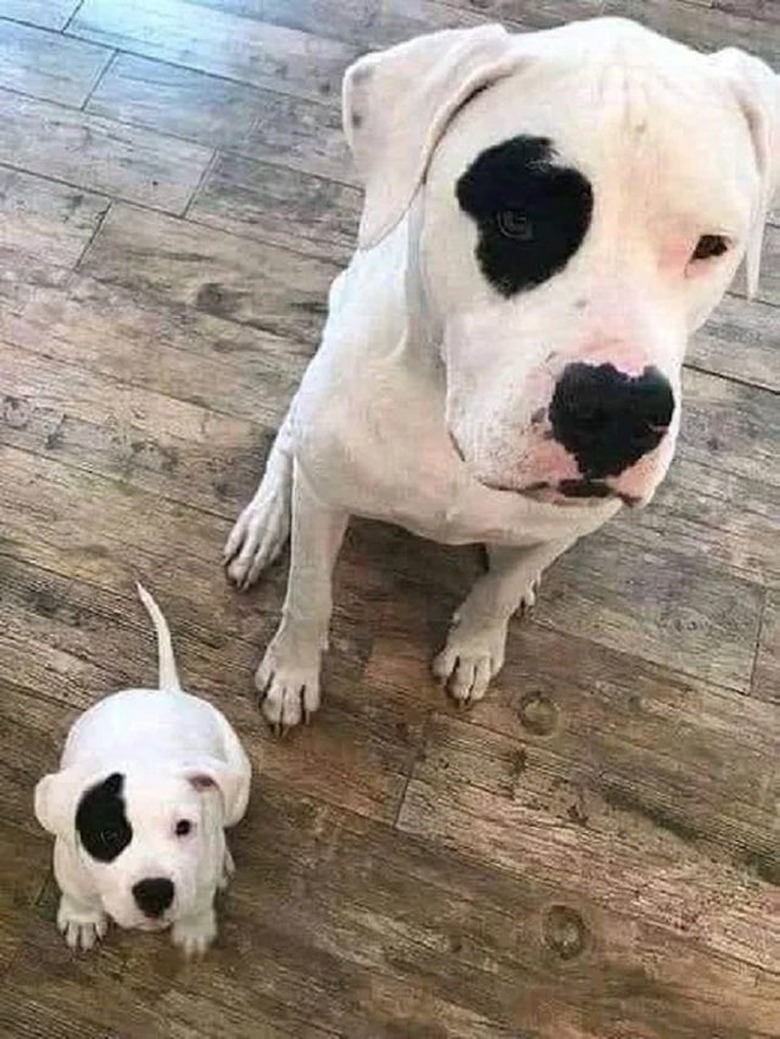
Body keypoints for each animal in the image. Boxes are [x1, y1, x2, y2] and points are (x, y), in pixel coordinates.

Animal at [35, 585, 250, 955]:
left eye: (183, 827)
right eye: (109, 835)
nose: (155, 891)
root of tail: (167, 692)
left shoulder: (198, 877)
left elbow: (199, 901)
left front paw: (195, 928)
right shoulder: (70, 865)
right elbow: (78, 893)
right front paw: (82, 918)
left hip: (237, 789)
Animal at [222, 16, 776, 731]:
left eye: (712, 246)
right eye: (518, 220)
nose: (619, 411)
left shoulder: (565, 525)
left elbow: (499, 591)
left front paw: (477, 643)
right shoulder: (327, 500)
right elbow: (310, 595)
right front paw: (293, 672)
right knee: (287, 451)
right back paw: (266, 521)